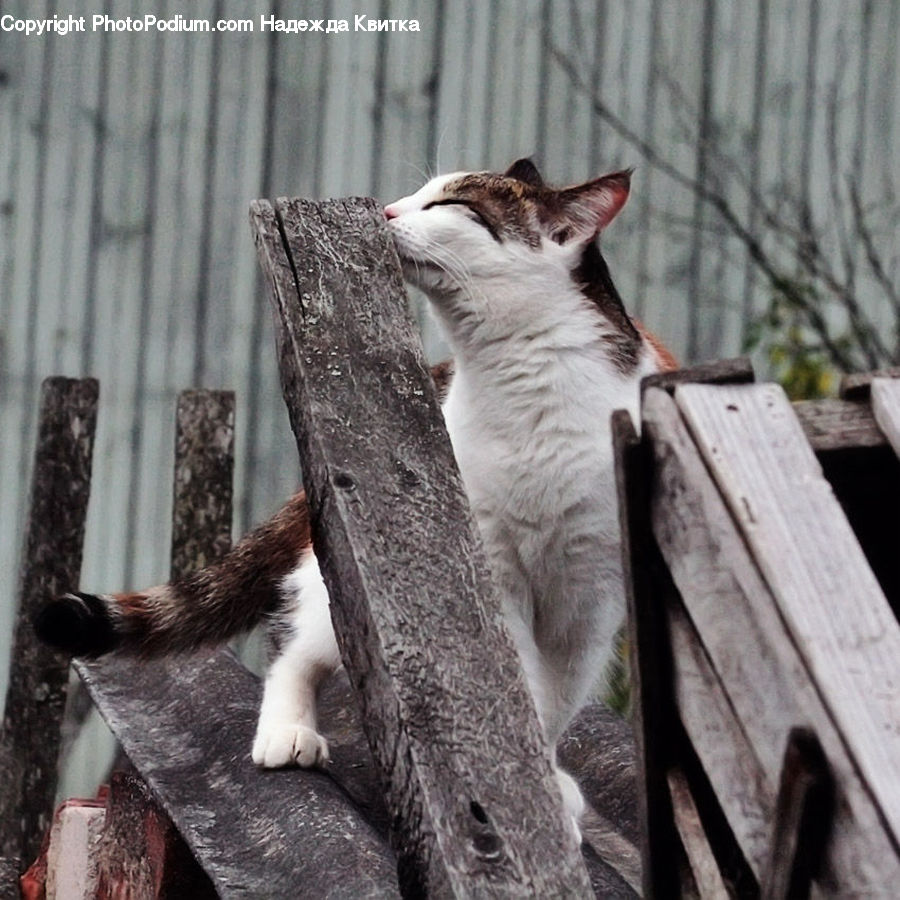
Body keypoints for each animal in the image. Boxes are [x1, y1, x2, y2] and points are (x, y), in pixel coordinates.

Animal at [38, 158, 680, 840]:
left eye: (451, 205)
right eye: (419, 194)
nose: (387, 210)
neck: (521, 378)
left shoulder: (591, 598)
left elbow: (555, 699)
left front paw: (546, 786)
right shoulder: (487, 571)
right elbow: (518, 687)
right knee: (294, 643)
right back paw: (287, 730)